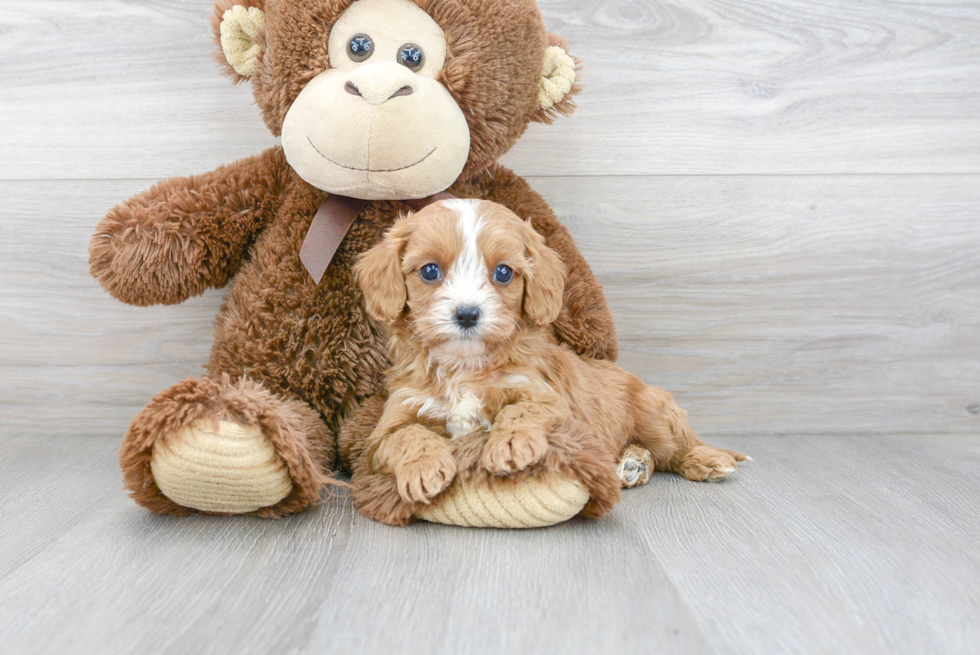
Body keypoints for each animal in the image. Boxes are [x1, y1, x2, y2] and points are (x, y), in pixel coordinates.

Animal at [352, 199, 744, 524]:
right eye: (430, 271)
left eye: (504, 273)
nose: (467, 314)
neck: (464, 368)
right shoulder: (390, 424)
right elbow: (408, 435)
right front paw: (425, 467)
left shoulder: (547, 397)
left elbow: (521, 409)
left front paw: (509, 445)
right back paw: (632, 464)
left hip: (655, 414)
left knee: (677, 447)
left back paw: (705, 460)